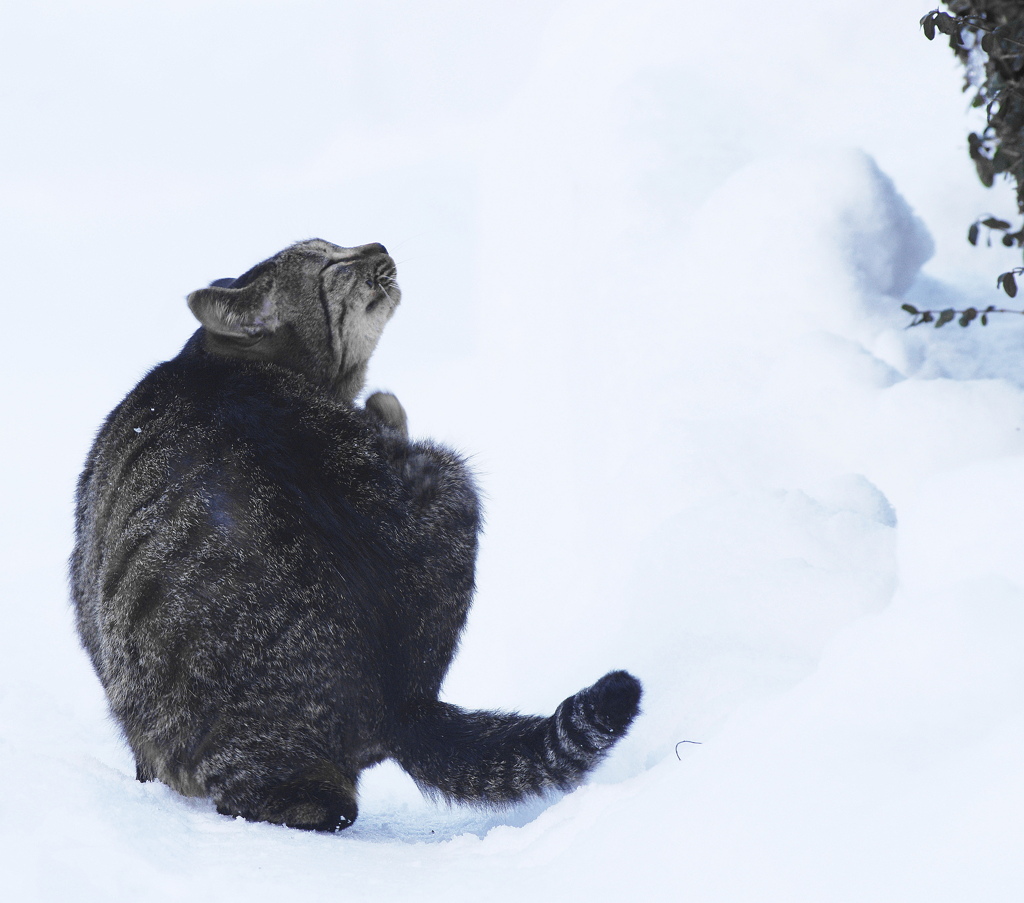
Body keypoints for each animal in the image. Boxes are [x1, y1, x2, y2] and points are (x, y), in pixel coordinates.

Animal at [74, 239, 638, 831]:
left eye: (331, 246)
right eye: (330, 262)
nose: (379, 246)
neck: (215, 362)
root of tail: (405, 705)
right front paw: (379, 405)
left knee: (316, 807)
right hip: (450, 475)